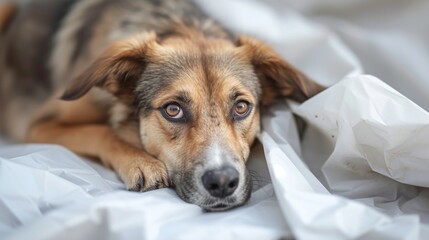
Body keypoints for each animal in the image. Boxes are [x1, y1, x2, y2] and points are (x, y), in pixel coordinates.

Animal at [0, 0, 320, 210]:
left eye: (241, 107)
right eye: (173, 110)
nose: (222, 182)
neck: (182, 26)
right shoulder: (39, 125)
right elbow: (102, 131)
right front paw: (141, 162)